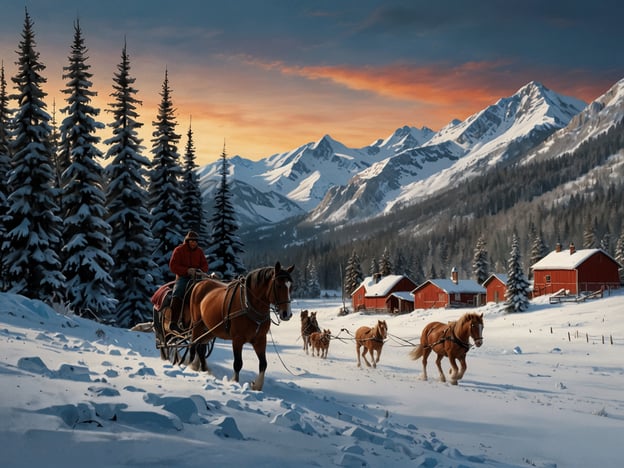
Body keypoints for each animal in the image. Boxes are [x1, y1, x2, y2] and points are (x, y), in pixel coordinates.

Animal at [186, 264, 294, 392]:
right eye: (278, 285)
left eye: (291, 287)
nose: (287, 314)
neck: (249, 305)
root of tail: (200, 283)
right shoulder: (237, 339)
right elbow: (238, 363)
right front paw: (234, 382)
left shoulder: (260, 340)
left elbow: (263, 363)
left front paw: (257, 385)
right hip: (197, 326)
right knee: (193, 345)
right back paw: (190, 367)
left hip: (210, 330)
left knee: (200, 347)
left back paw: (202, 369)